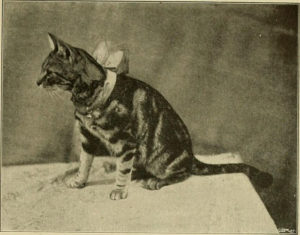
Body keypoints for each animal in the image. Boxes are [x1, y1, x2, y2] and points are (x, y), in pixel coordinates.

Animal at [36, 33, 274, 200]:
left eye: (49, 72)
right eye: (42, 70)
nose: (37, 82)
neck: (88, 97)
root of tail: (190, 155)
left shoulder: (126, 142)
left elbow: (122, 169)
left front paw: (119, 189)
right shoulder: (88, 138)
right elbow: (84, 163)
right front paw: (79, 181)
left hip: (162, 158)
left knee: (183, 173)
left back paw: (155, 180)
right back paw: (138, 173)